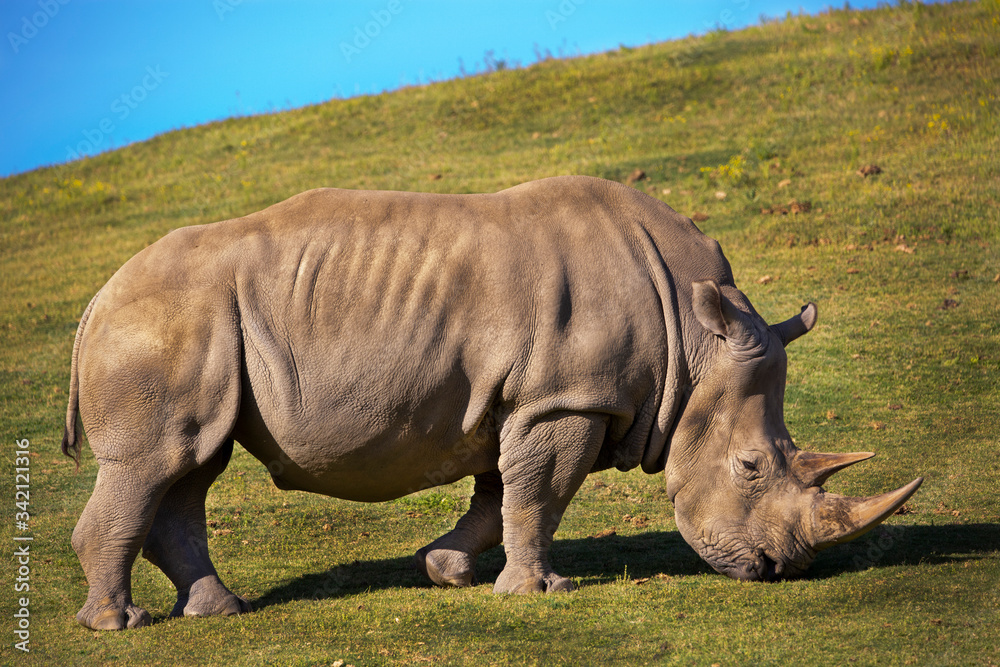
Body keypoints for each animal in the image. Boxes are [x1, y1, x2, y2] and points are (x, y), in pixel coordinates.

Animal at [62, 175, 921, 630]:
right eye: (748, 467)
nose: (778, 569)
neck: (693, 337)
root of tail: (95, 299)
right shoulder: (566, 398)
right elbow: (541, 493)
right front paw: (544, 592)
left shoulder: (525, 399)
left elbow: (500, 493)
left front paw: (447, 571)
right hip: (163, 323)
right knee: (155, 464)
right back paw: (121, 624)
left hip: (198, 335)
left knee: (191, 466)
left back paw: (221, 610)